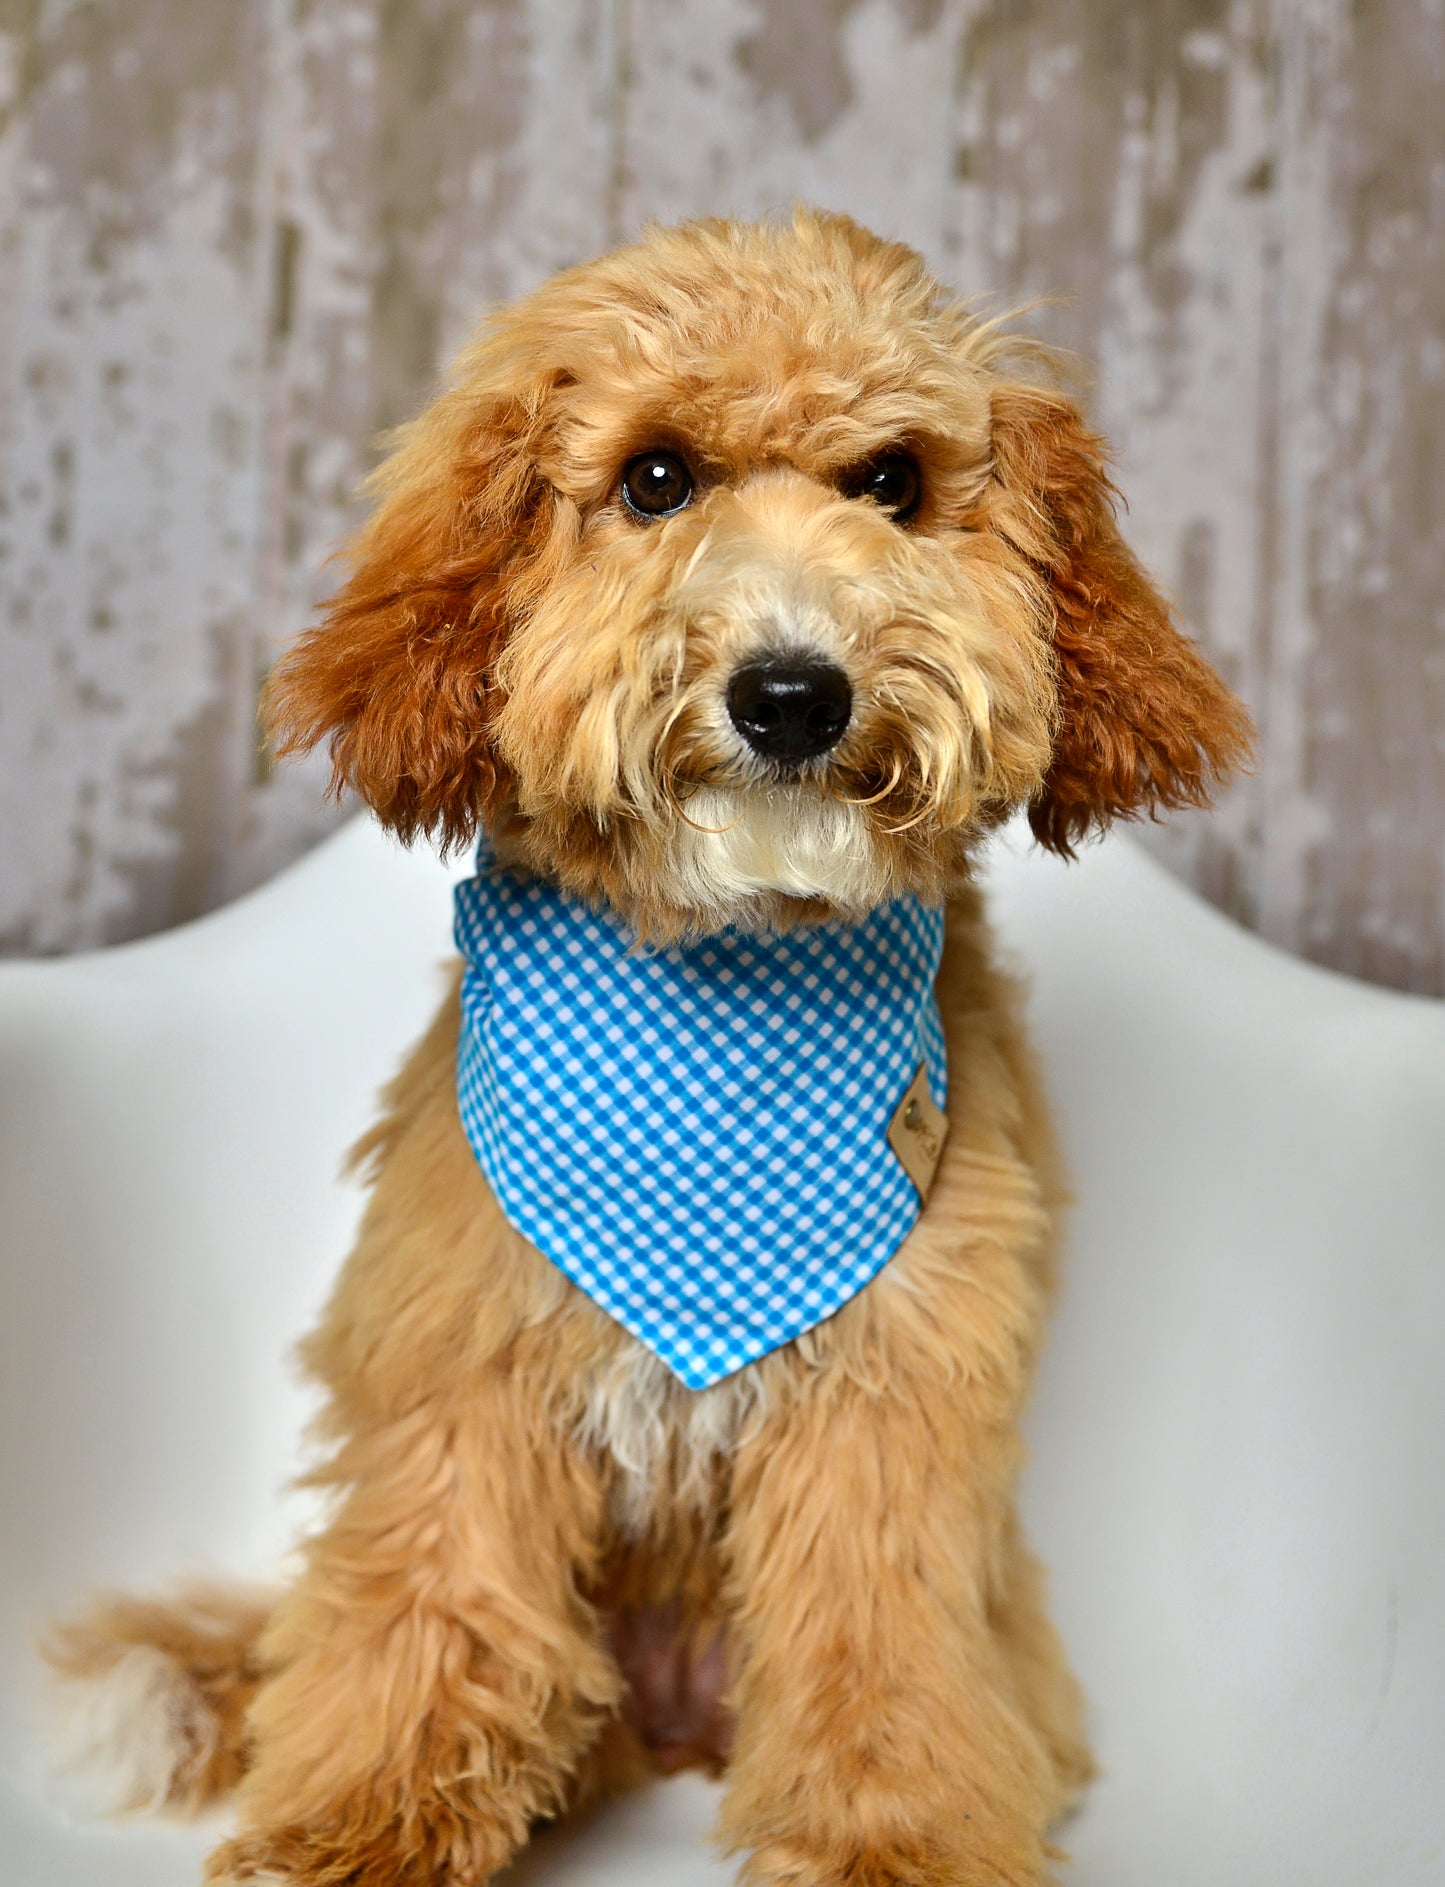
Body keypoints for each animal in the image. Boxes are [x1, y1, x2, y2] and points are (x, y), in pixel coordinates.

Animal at [53, 214, 1252, 1879]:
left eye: (892, 482)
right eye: (656, 478)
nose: (794, 694)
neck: (724, 982)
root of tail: (677, 1717)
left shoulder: (891, 1396)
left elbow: (878, 1638)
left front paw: (891, 1842)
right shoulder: (465, 1357)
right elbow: (433, 1598)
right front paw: (360, 1826)